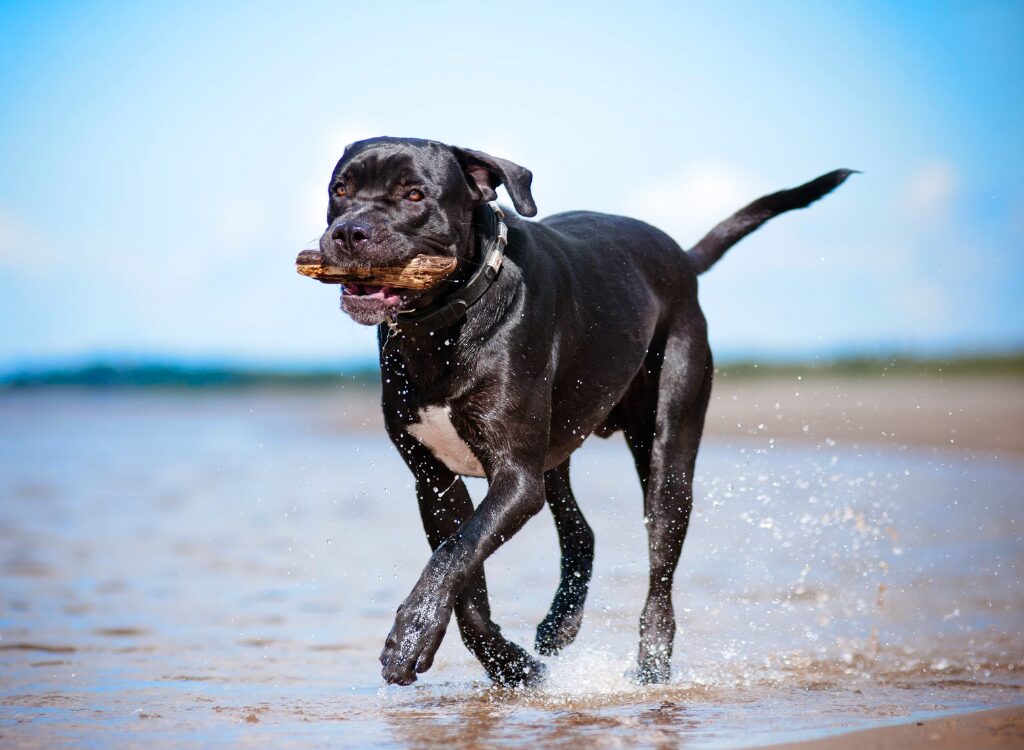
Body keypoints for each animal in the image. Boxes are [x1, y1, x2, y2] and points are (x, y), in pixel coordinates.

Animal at [315, 137, 851, 688]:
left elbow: (455, 554)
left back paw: (652, 667)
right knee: (581, 533)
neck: (444, 323)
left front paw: (410, 635)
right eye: (340, 190)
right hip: (556, 452)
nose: (349, 232)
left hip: (668, 448)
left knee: (661, 563)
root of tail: (681, 258)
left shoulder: (516, 477)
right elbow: (464, 575)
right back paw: (560, 624)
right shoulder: (434, 481)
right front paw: (511, 666)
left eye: (415, 194)